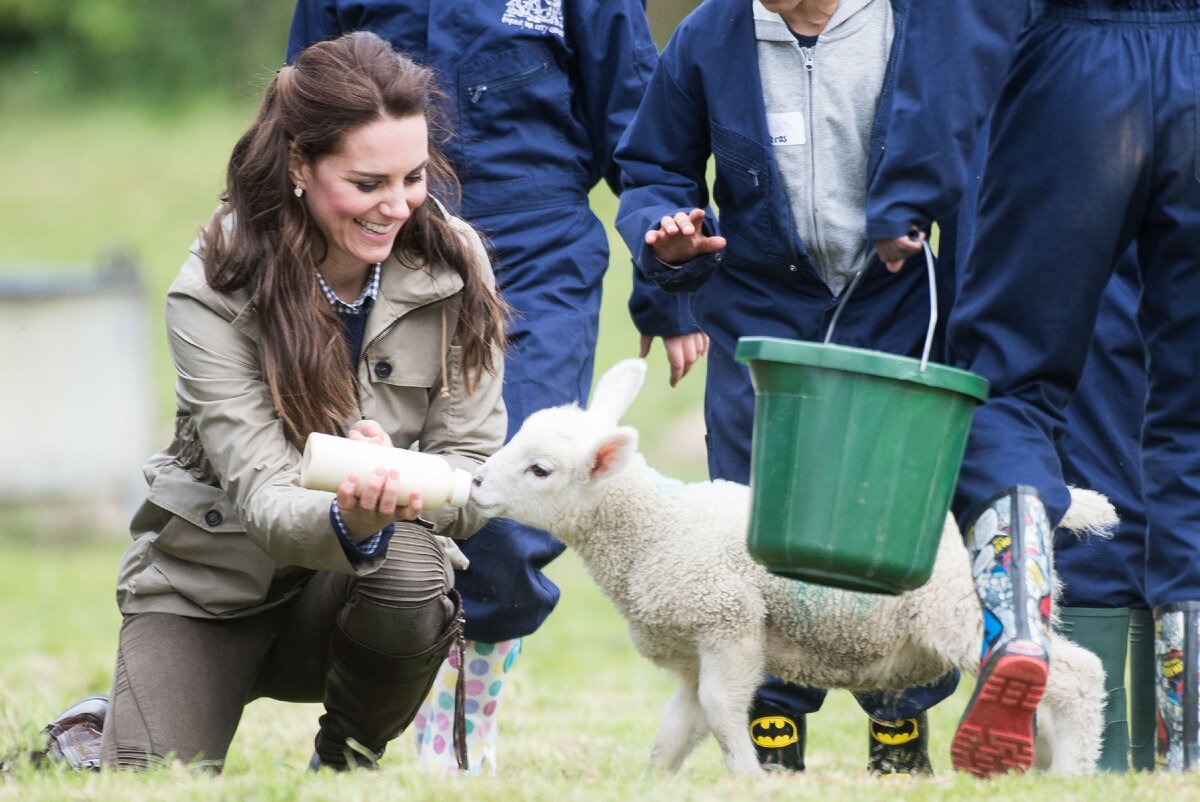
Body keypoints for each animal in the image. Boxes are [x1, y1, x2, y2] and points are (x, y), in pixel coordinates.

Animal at [468, 360, 1104, 773]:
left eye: (540, 470)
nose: (474, 483)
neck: (655, 530)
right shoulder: (691, 649)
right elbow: (677, 729)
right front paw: (654, 782)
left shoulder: (727, 619)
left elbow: (722, 710)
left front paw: (748, 777)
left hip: (961, 611)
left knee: (1080, 676)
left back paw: (1073, 774)